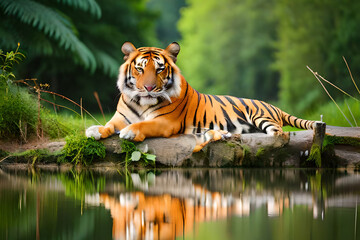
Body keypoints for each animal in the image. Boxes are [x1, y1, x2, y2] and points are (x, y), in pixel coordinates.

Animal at [87, 40, 318, 150]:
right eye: (140, 69)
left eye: (160, 69)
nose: (149, 88)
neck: (142, 103)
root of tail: (274, 106)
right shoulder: (121, 117)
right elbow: (109, 125)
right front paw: (94, 130)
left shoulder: (165, 122)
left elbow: (144, 124)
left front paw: (130, 132)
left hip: (262, 117)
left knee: (281, 134)